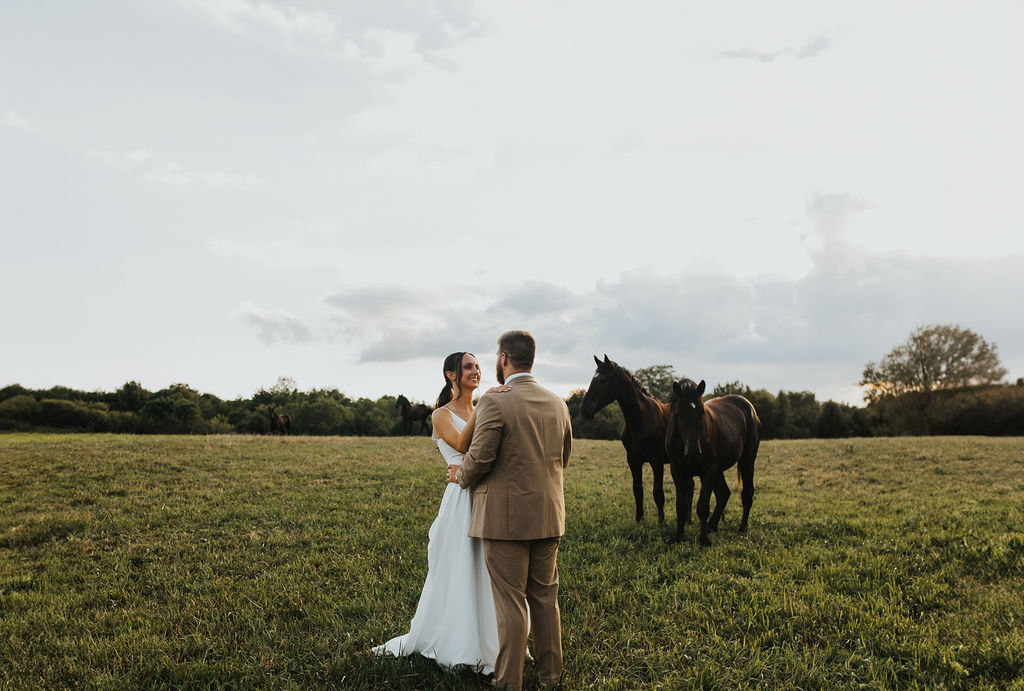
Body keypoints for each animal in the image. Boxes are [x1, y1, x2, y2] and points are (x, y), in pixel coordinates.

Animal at [581, 356, 675, 524]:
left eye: (602, 381)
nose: (584, 410)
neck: (639, 420)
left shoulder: (656, 461)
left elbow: (658, 492)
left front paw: (661, 522)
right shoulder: (633, 460)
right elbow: (637, 490)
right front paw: (639, 520)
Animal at [663, 378, 761, 544]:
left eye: (702, 412)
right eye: (679, 413)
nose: (694, 454)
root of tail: (748, 406)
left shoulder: (708, 471)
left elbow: (703, 507)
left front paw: (704, 540)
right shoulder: (677, 471)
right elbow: (680, 506)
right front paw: (679, 536)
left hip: (747, 461)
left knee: (747, 493)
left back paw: (742, 527)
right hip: (719, 470)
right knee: (724, 494)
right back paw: (712, 525)